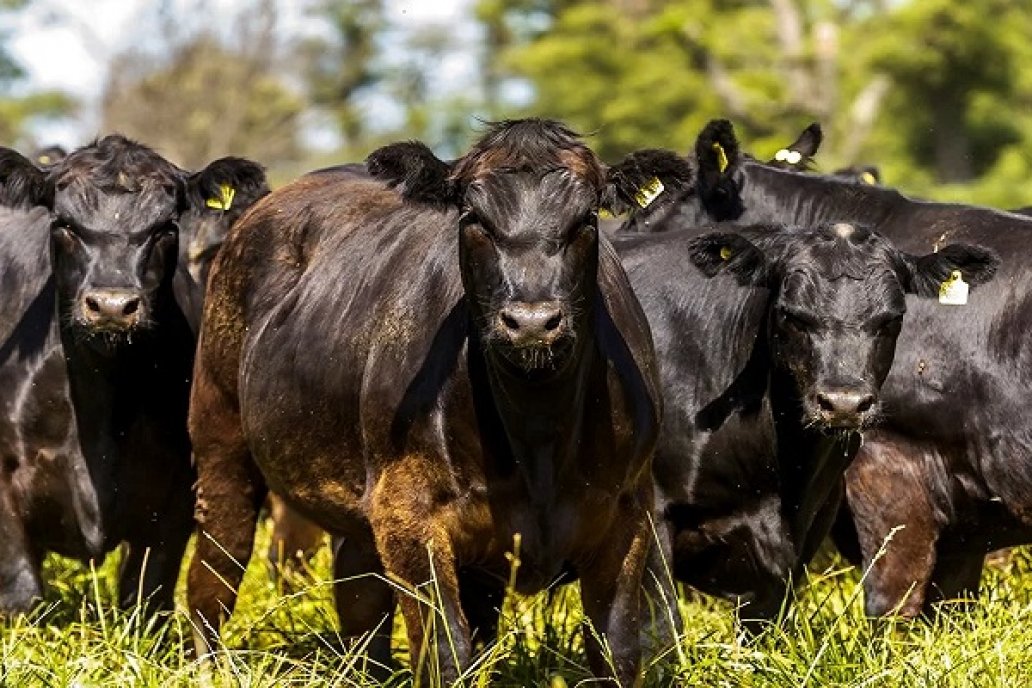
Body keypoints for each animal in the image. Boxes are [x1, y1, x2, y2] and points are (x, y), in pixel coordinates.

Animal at [0, 134, 264, 614]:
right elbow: (22, 594)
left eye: (166, 227)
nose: (111, 305)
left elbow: (145, 598)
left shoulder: (176, 493)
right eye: (64, 223)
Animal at [187, 119, 676, 684]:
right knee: (214, 574)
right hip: (220, 440)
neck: (537, 436)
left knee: (359, 601)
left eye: (587, 218)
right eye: (473, 216)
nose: (532, 321)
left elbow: (617, 650)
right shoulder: (409, 513)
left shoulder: (627, 511)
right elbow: (446, 651)